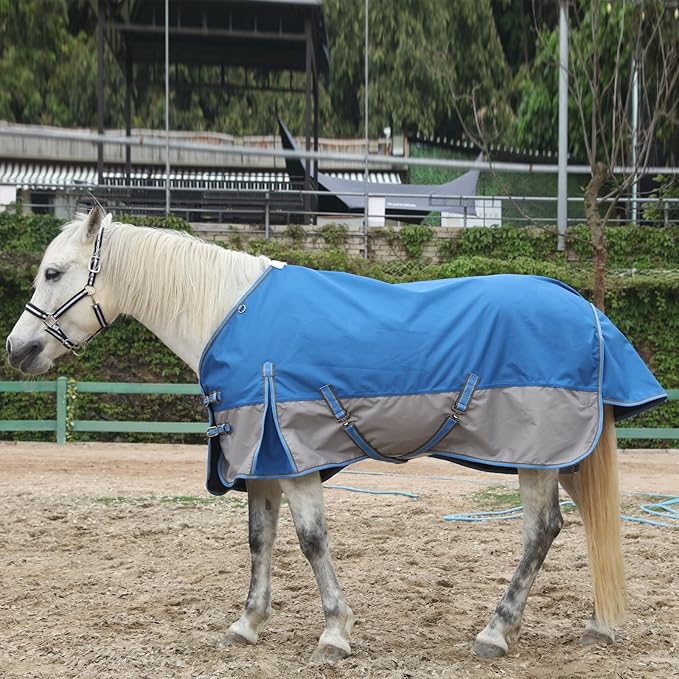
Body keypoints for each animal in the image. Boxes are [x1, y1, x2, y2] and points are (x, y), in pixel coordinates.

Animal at [5, 207, 662, 664]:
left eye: (53, 272)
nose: (18, 349)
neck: (225, 312)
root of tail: (585, 309)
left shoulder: (293, 459)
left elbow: (310, 540)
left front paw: (334, 633)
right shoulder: (262, 461)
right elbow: (260, 540)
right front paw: (247, 624)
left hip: (538, 456)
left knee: (540, 530)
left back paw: (496, 632)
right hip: (565, 454)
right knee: (587, 519)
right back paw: (598, 624)